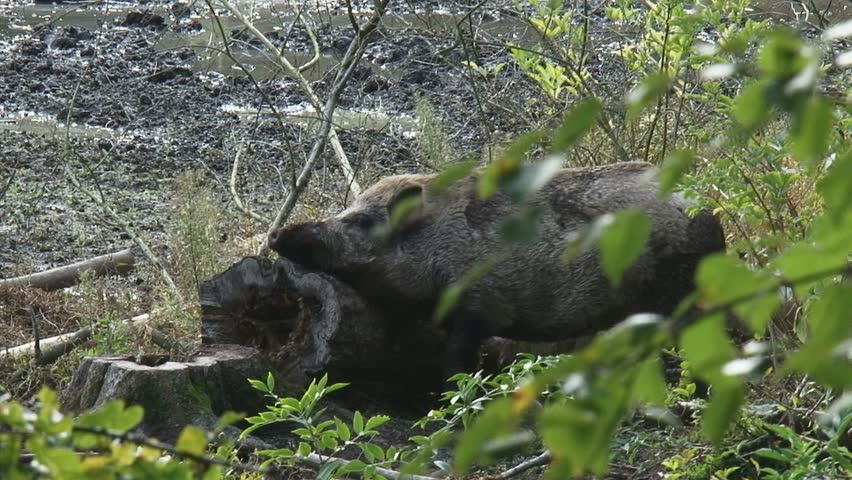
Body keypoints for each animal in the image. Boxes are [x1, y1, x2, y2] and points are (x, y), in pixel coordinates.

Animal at [267, 161, 725, 377]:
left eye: (361, 220)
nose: (276, 233)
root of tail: (707, 209)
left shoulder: (475, 307)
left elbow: (458, 364)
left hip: (677, 289)